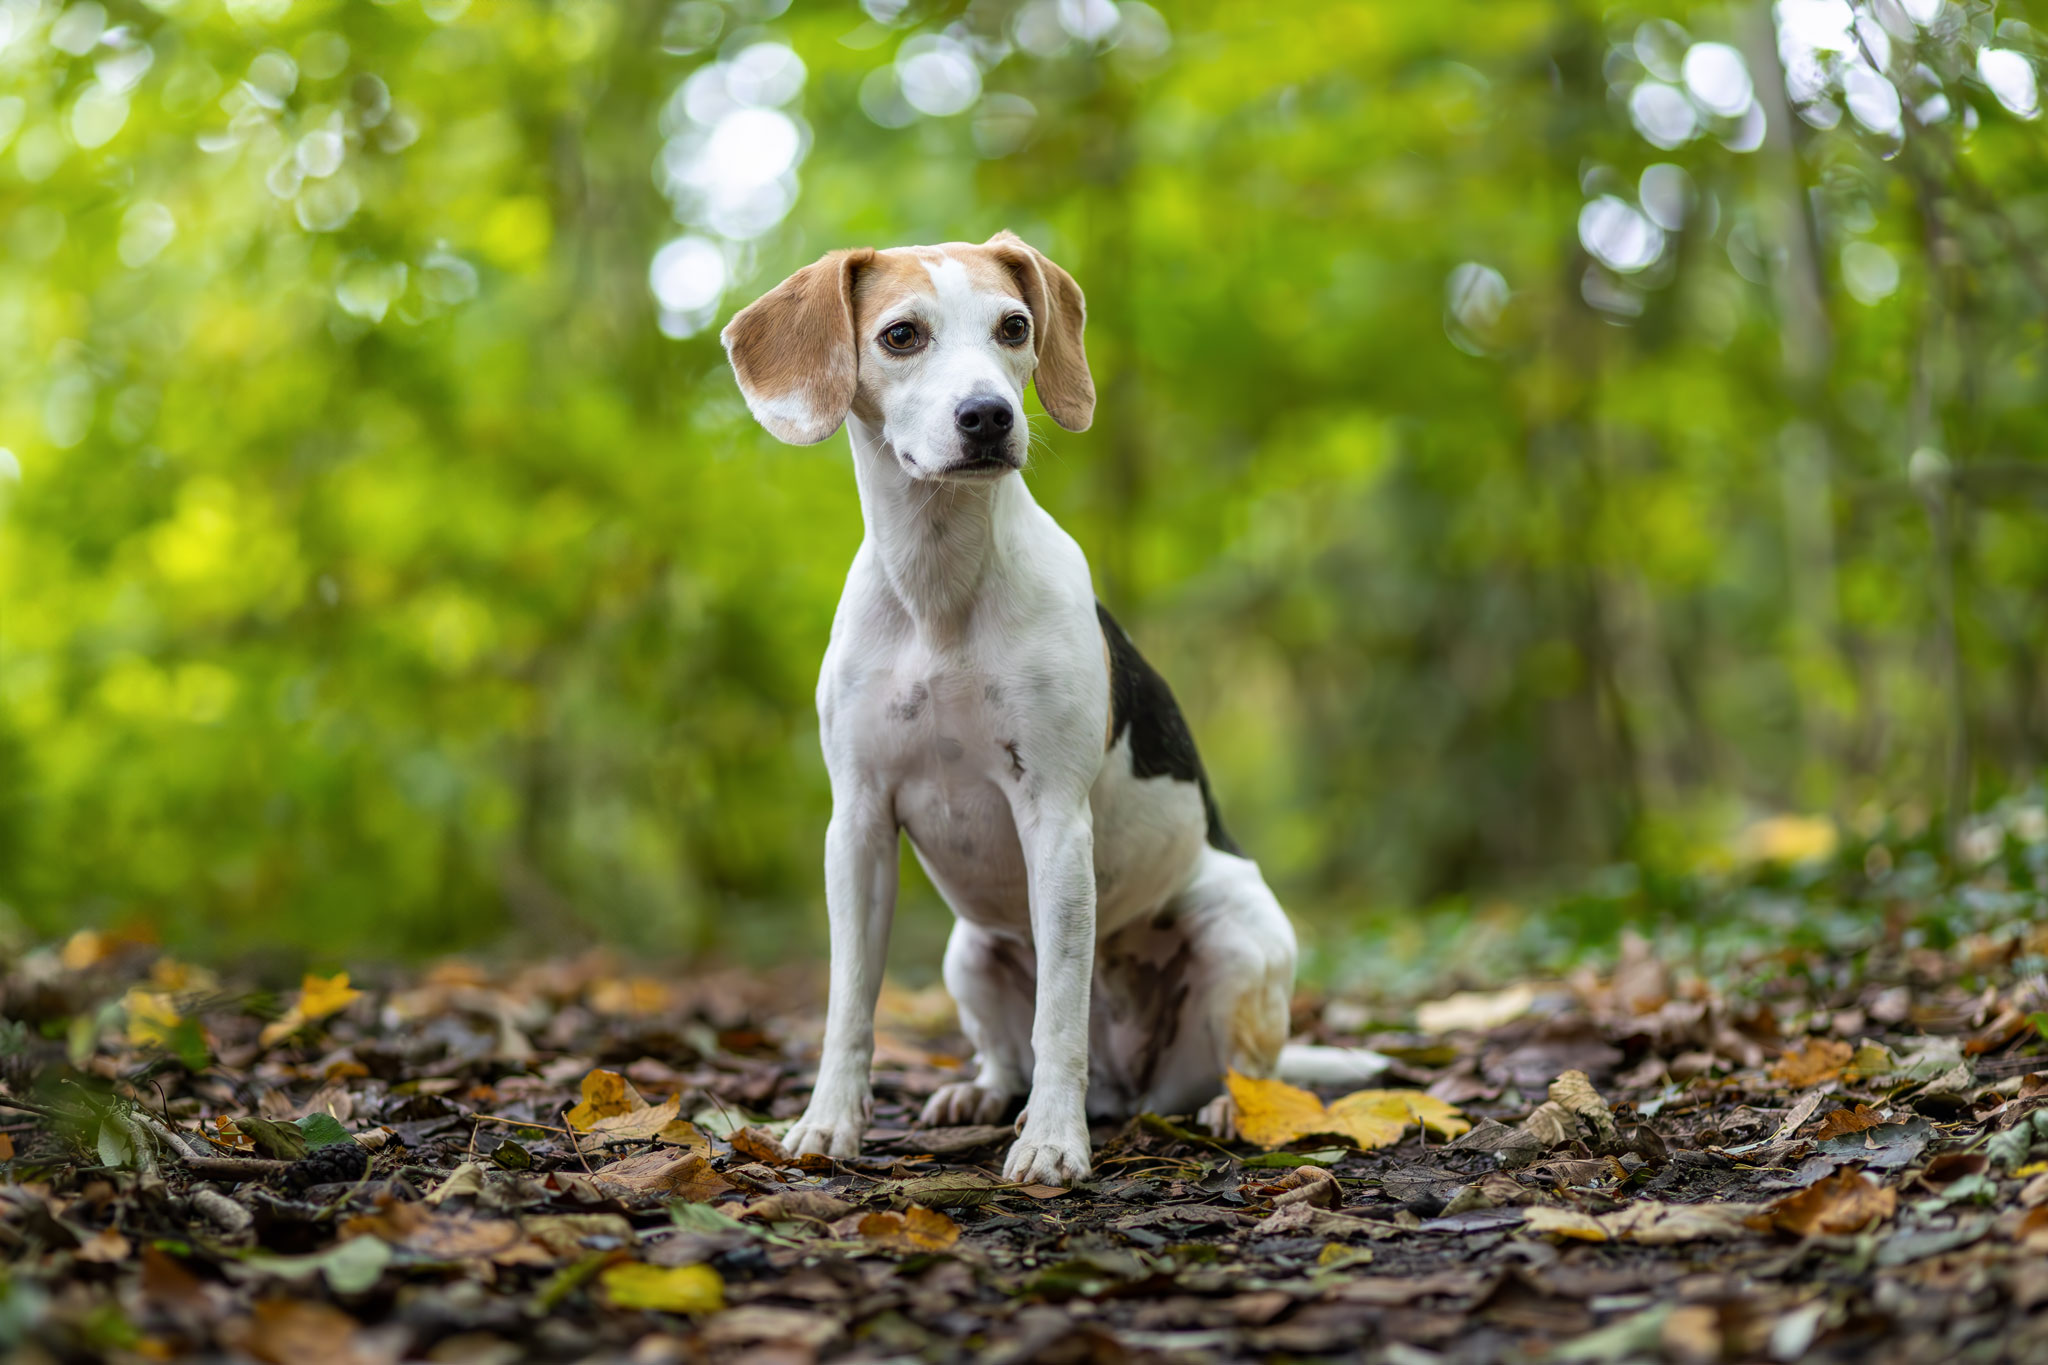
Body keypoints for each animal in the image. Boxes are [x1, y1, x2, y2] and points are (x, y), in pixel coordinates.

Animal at [720, 232, 1376, 1186]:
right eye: (901, 335)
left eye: (1014, 327)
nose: (989, 415)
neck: (939, 586)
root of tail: (1130, 1084)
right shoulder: (859, 825)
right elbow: (850, 1004)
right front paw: (828, 1123)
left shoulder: (1056, 822)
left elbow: (1059, 1014)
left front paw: (1054, 1140)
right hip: (969, 948)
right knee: (1005, 1053)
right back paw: (982, 1093)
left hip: (1237, 936)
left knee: (1245, 1065)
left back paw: (1225, 1107)